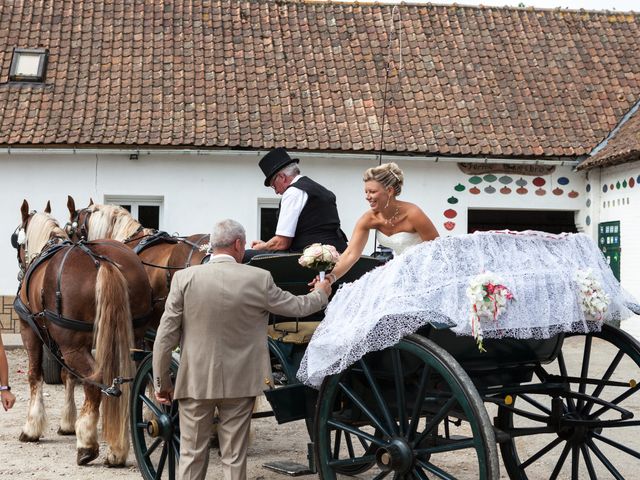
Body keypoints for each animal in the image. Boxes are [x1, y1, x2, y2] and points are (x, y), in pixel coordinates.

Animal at [12, 201, 154, 466]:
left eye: (17, 241)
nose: (19, 270)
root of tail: (103, 262)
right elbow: (68, 376)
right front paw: (68, 423)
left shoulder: (31, 330)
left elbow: (35, 376)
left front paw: (32, 428)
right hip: (130, 339)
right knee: (125, 380)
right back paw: (116, 448)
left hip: (70, 344)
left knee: (96, 378)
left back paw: (88, 444)